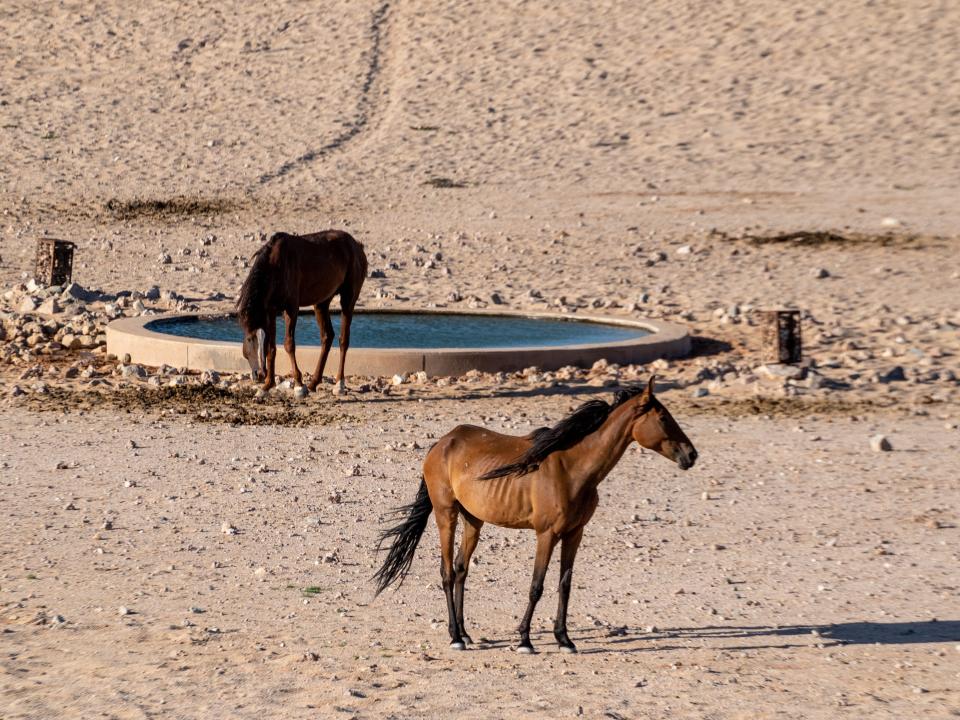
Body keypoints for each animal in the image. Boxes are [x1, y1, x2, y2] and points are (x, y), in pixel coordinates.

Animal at [236, 231, 368, 394]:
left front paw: (299, 384)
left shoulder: (291, 308)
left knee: (343, 340)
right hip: (321, 303)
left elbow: (288, 344)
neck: (276, 266)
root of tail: (357, 246)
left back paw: (339, 384)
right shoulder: (271, 311)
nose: (259, 374)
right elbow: (271, 348)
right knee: (327, 336)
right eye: (249, 340)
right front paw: (267, 386)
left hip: (348, 300)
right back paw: (314, 383)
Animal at [374, 380, 696, 656]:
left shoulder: (575, 533)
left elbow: (565, 584)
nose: (692, 455)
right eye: (663, 418)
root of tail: (442, 442)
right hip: (446, 514)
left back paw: (465, 634)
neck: (573, 469)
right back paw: (455, 637)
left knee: (461, 569)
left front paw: (564, 639)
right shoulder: (547, 534)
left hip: (473, 520)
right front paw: (525, 640)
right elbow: (536, 586)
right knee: (447, 572)